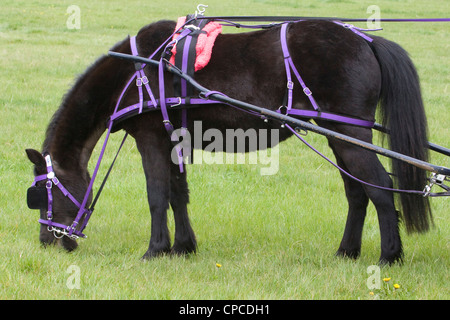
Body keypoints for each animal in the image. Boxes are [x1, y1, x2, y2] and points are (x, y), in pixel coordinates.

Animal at [25, 19, 432, 264]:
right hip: (339, 135)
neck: (137, 70)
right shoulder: (172, 138)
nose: (47, 241)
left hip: (350, 136)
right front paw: (183, 247)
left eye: (44, 192)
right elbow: (178, 193)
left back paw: (389, 255)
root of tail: (366, 39)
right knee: (357, 192)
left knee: (380, 187)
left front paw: (155, 249)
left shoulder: (151, 138)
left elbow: (157, 194)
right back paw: (347, 251)